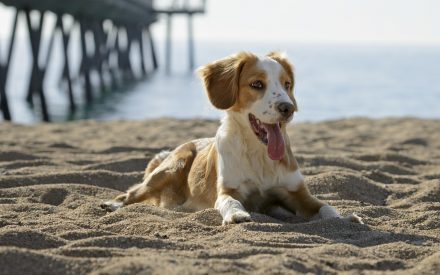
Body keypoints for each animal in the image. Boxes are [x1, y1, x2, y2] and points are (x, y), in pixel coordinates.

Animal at [101, 51, 362, 226]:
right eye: (257, 84)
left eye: (287, 84)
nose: (288, 108)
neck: (259, 154)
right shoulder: (228, 189)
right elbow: (229, 202)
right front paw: (237, 214)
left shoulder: (297, 194)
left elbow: (326, 207)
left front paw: (345, 217)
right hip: (170, 168)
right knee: (132, 193)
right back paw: (112, 204)